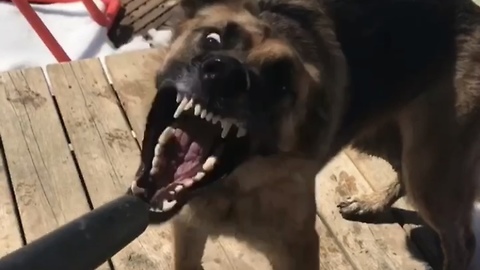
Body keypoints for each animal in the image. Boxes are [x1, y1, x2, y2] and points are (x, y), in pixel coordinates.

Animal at [127, 0, 480, 268]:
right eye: (212, 39)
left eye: (281, 84)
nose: (225, 75)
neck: (231, 185)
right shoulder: (188, 229)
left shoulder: (298, 246)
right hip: (379, 138)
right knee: (402, 171)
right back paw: (372, 203)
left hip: (428, 170)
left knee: (462, 241)